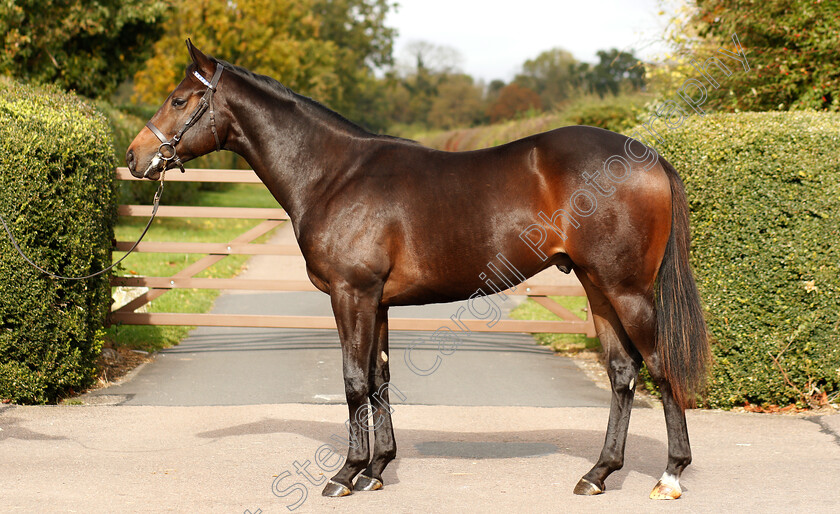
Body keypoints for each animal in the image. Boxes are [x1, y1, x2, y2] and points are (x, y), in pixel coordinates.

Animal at [126, 42, 708, 498]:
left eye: (180, 99)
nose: (134, 157)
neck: (333, 174)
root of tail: (648, 156)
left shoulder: (351, 294)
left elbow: (353, 381)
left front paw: (345, 473)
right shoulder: (377, 301)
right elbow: (380, 378)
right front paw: (377, 469)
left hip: (627, 290)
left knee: (660, 366)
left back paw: (670, 476)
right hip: (597, 287)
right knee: (622, 373)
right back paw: (598, 473)